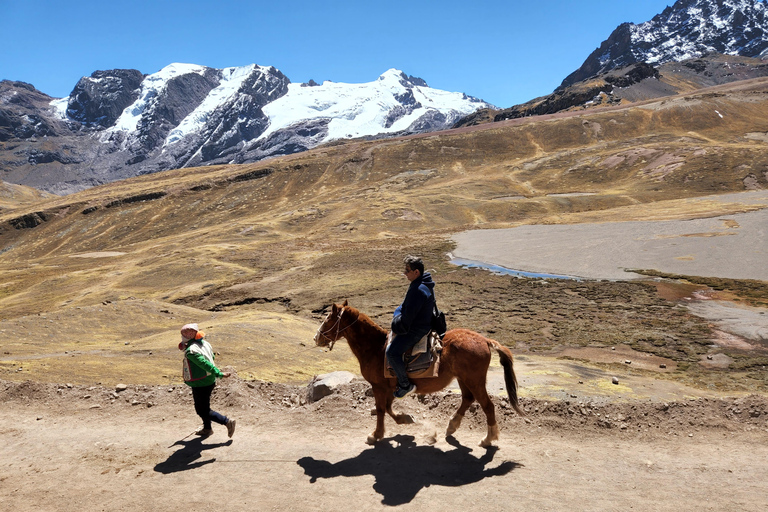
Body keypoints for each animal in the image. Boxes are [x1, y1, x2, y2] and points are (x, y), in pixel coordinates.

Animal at [316, 298, 524, 446]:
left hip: (474, 380)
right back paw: (452, 426)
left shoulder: (378, 387)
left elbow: (382, 409)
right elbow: (389, 408)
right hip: (463, 379)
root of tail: (486, 341)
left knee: (487, 406)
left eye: (328, 319)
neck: (376, 348)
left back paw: (488, 439)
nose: (316, 338)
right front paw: (406, 419)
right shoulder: (390, 387)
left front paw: (375, 435)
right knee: (467, 399)